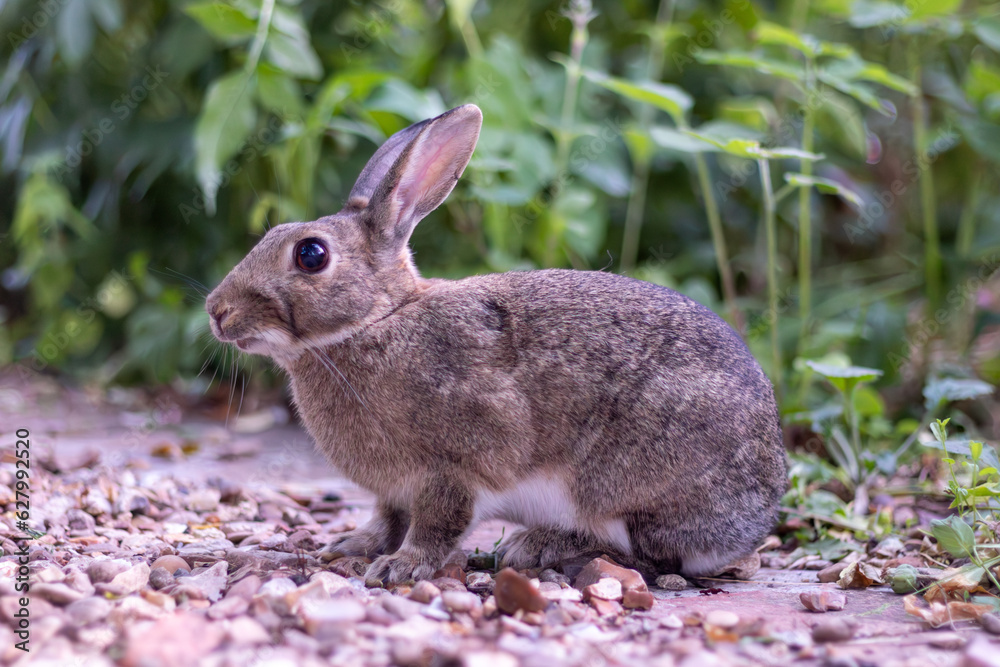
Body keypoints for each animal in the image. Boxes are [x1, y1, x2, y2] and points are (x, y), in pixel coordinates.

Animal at [206, 104, 787, 586]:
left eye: (310, 255)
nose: (216, 311)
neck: (377, 320)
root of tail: (758, 514)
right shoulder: (393, 491)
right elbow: (386, 519)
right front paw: (351, 545)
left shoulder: (454, 467)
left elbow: (436, 524)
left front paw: (399, 568)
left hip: (622, 484)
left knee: (649, 555)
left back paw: (534, 548)